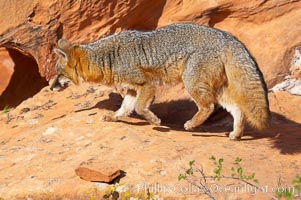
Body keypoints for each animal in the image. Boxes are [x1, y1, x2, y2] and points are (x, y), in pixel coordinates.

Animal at [50, 23, 268, 140]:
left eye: (59, 74)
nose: (51, 87)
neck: (108, 58)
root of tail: (227, 36)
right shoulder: (132, 89)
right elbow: (126, 108)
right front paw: (113, 117)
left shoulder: (147, 84)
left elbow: (139, 108)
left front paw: (154, 121)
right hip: (216, 88)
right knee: (237, 109)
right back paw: (236, 134)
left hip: (192, 83)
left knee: (209, 107)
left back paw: (191, 124)